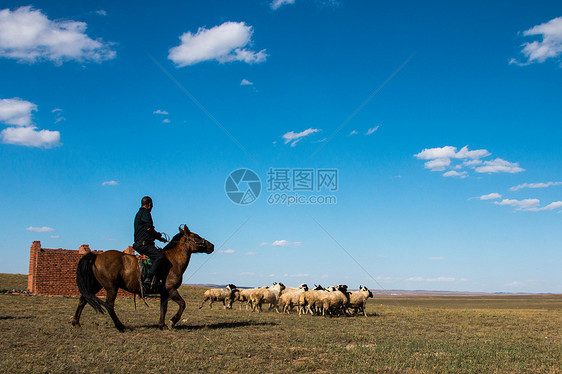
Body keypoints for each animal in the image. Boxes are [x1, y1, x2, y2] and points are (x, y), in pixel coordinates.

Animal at [72, 225, 212, 330]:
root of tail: (96, 256)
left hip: (96, 285)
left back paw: (76, 323)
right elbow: (182, 304)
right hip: (111, 287)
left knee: (83, 299)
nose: (212, 246)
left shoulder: (164, 292)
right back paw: (120, 326)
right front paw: (172, 322)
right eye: (196, 236)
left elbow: (163, 308)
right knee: (109, 305)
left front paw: (162, 325)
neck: (172, 261)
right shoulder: (171, 289)